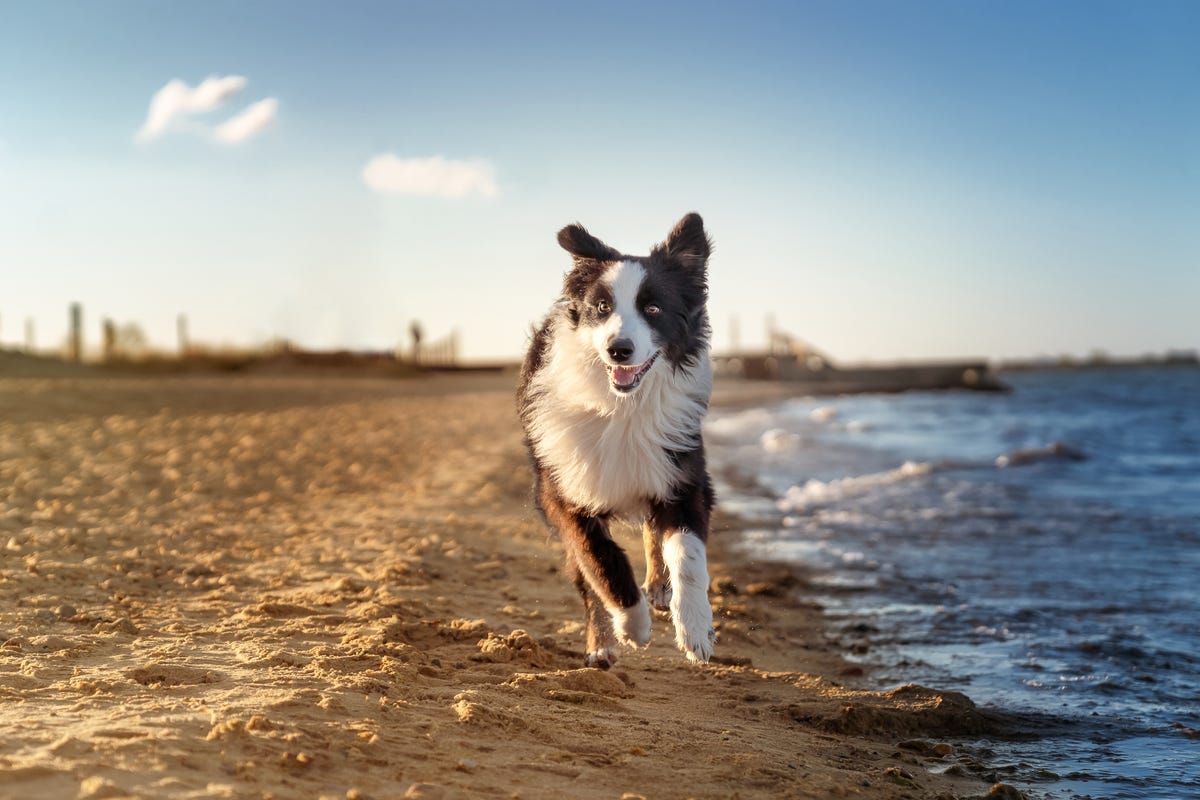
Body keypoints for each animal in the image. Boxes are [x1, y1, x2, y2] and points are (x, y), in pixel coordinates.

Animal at [513, 214, 710, 671]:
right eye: (602, 308)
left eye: (653, 309)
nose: (619, 350)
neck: (622, 406)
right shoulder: (562, 493)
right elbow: (601, 561)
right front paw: (632, 625)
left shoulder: (683, 476)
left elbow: (688, 555)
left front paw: (695, 628)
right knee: (587, 578)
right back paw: (602, 643)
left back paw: (659, 586)